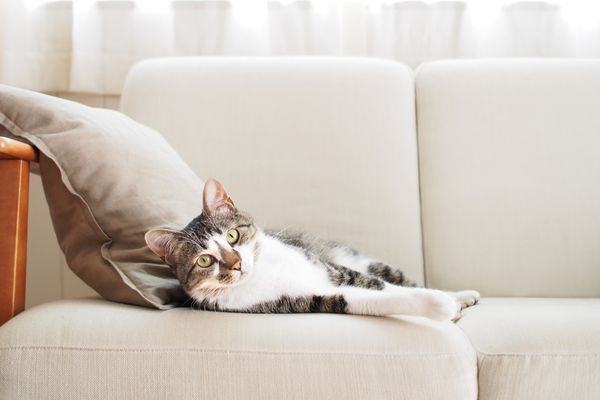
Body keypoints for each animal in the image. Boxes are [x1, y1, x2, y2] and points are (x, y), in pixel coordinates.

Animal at [144, 180, 478, 320]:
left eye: (233, 235)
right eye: (204, 260)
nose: (236, 264)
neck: (264, 272)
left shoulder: (330, 268)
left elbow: (381, 285)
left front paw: (450, 300)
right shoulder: (299, 299)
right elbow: (369, 299)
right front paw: (440, 307)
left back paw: (463, 295)